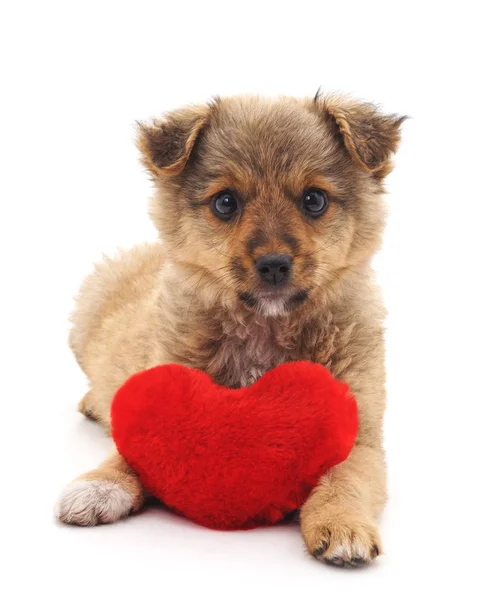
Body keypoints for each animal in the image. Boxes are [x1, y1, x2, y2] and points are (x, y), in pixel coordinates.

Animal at [55, 94, 404, 568]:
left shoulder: (361, 437)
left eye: (314, 200)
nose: (273, 265)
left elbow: (344, 477)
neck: (264, 328)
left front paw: (343, 524)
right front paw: (98, 486)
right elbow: (125, 456)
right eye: (225, 203)